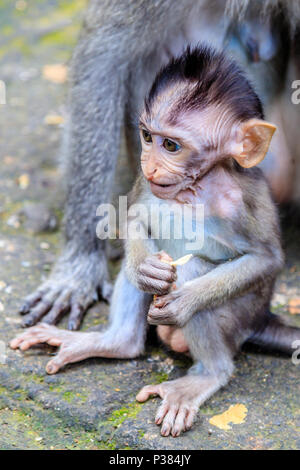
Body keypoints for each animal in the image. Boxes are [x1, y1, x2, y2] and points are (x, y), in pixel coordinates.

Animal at [10, 45, 298, 436]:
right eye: (147, 137)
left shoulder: (247, 199)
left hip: (239, 318)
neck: (193, 188)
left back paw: (207, 374)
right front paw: (146, 270)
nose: (150, 164)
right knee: (140, 290)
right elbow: (133, 218)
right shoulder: (144, 184)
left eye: (172, 145)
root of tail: (261, 320)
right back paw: (114, 341)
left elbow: (265, 259)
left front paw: (184, 302)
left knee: (194, 276)